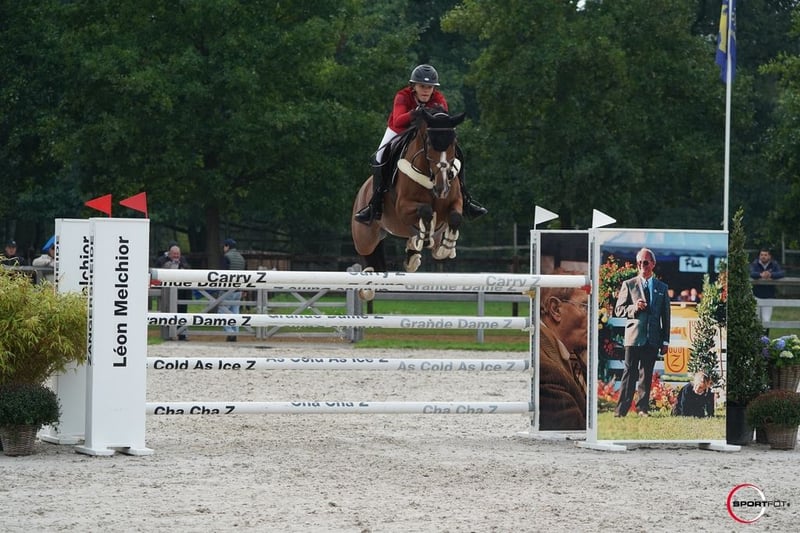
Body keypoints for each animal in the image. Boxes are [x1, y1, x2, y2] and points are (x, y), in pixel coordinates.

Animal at [351, 107, 466, 298]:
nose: (442, 188)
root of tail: (363, 189)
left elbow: (455, 218)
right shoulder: (403, 208)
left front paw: (447, 246)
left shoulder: (455, 203)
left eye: (453, 143)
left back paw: (416, 253)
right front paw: (425, 237)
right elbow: (426, 211)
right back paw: (368, 283)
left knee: (433, 245)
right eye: (430, 143)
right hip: (365, 236)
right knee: (368, 253)